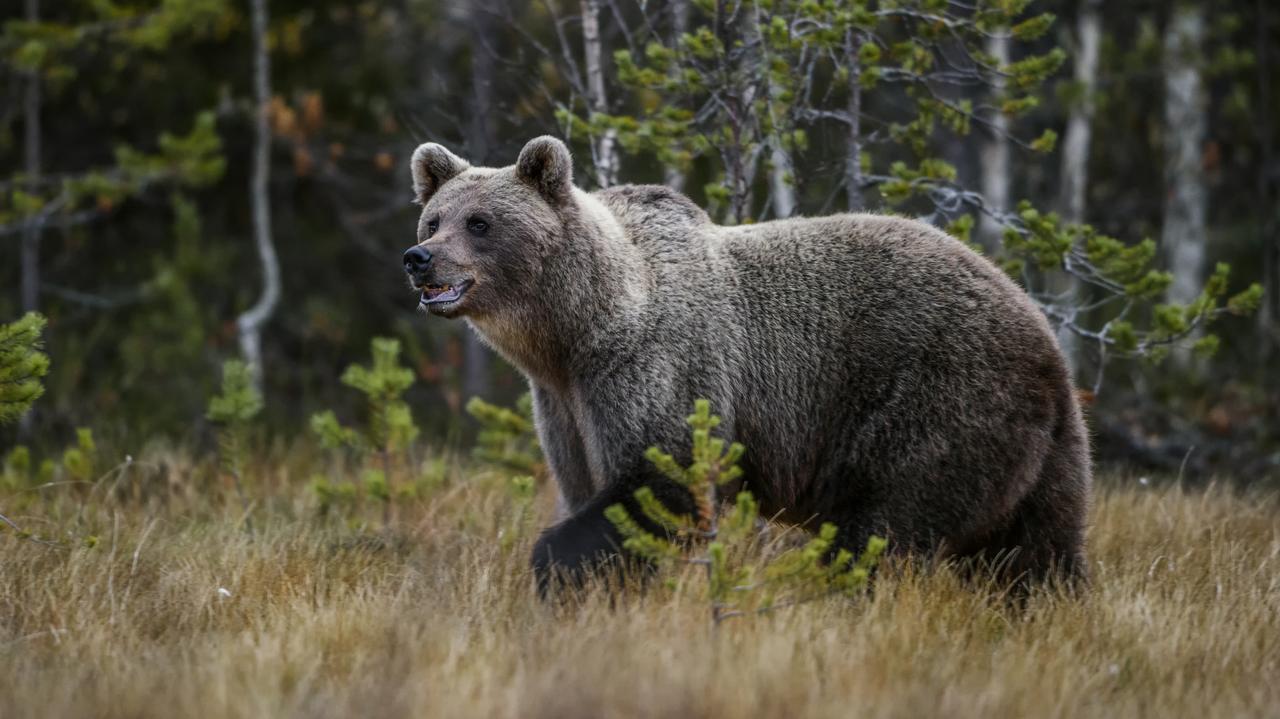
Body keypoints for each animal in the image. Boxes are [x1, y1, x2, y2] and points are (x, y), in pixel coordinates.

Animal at [399, 133, 1090, 588]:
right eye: (434, 218)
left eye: (480, 222)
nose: (419, 257)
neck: (575, 332)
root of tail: (1043, 337)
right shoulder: (564, 406)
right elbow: (587, 484)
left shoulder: (656, 367)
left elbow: (661, 477)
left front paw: (557, 566)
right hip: (1043, 453)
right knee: (1036, 550)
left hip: (936, 399)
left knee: (886, 526)